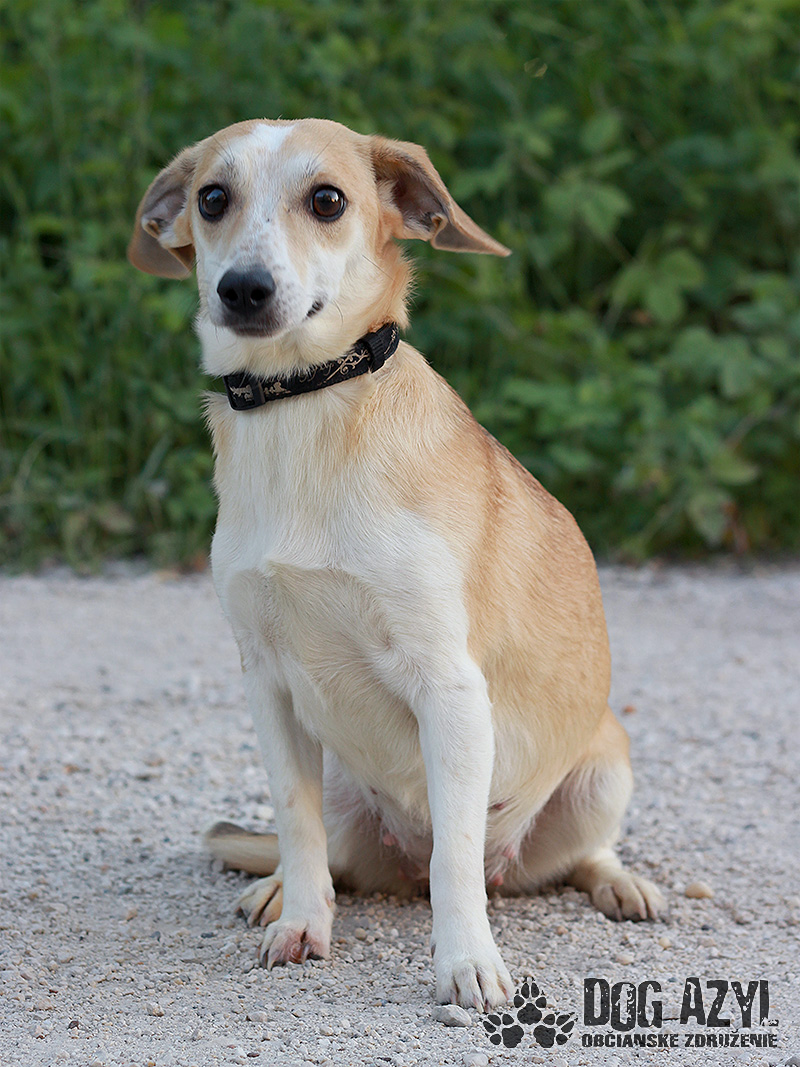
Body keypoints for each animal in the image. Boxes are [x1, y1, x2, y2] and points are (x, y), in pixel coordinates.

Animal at [128, 118, 663, 1010]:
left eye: (328, 199)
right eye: (212, 198)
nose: (242, 289)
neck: (305, 406)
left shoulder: (449, 687)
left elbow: (455, 857)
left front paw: (466, 962)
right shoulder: (266, 681)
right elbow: (297, 824)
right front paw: (301, 923)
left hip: (602, 771)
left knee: (561, 856)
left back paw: (617, 881)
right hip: (347, 789)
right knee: (332, 856)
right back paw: (278, 887)